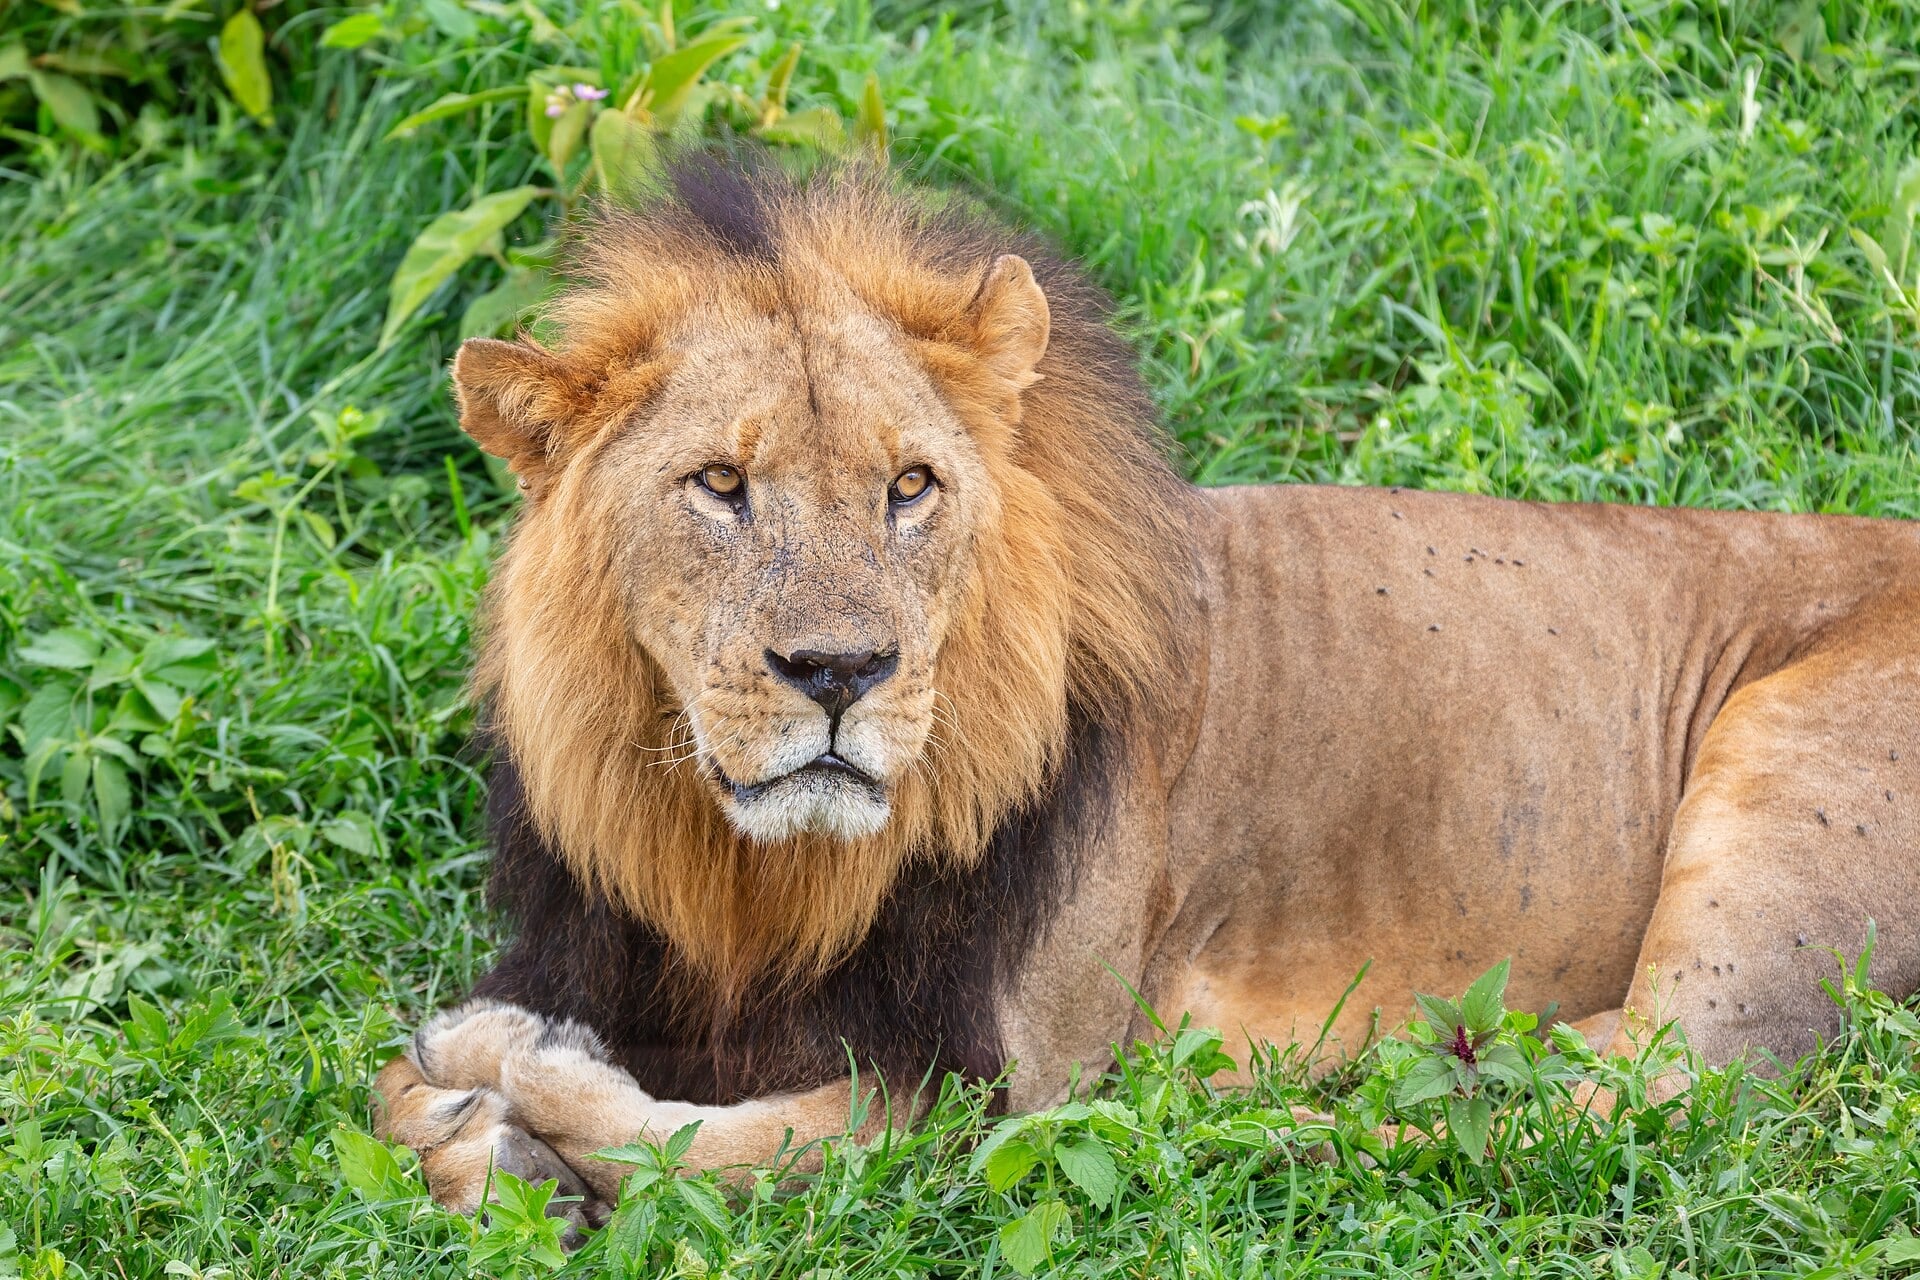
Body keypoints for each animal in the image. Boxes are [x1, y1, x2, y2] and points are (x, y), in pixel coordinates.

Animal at [374, 155, 1920, 1226]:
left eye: (910, 486)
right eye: (718, 485)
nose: (838, 673)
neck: (754, 880)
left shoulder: (995, 1075)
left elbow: (736, 1143)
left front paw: (506, 1075)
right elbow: (389, 1096)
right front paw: (477, 1133)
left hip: (1773, 785)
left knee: (1627, 1099)